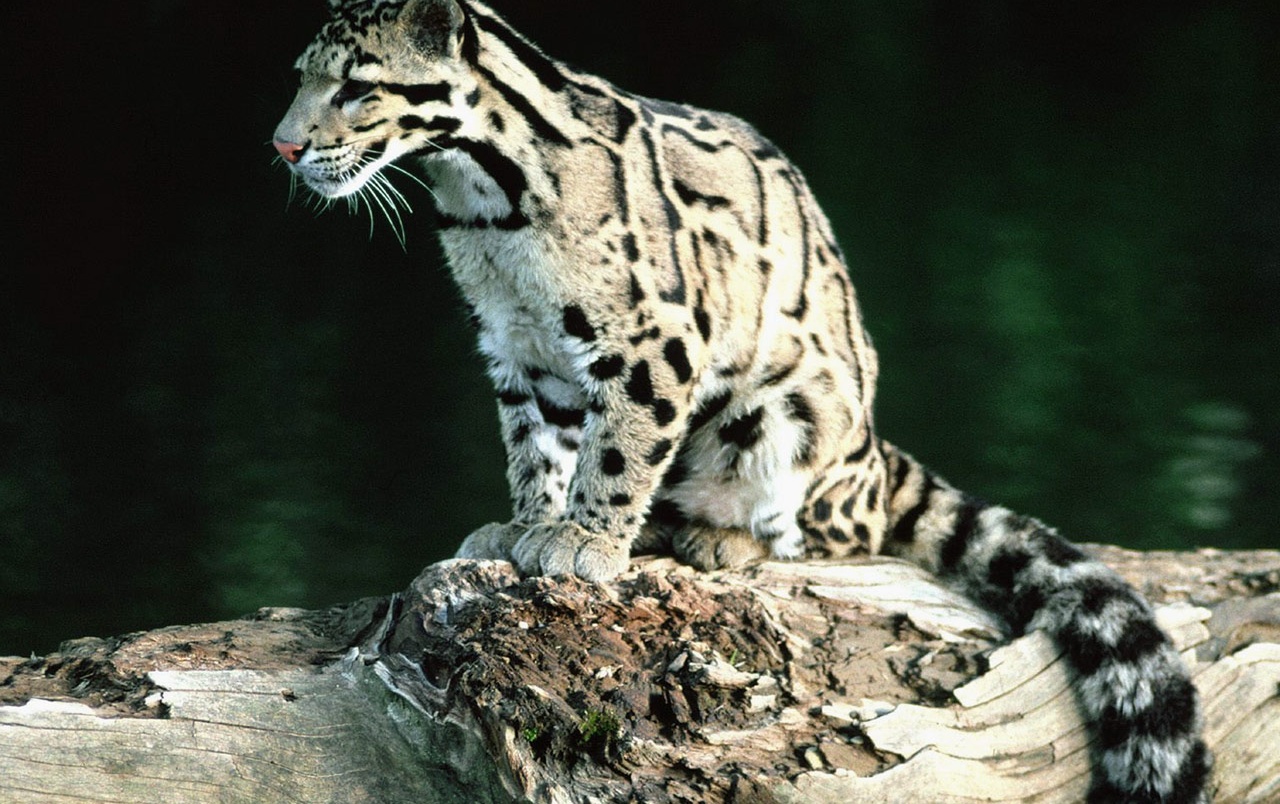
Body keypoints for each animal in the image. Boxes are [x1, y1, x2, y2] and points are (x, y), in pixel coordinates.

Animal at [273, 1, 1211, 800]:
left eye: (357, 86)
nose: (282, 147)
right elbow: (536, 446)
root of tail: (877, 456)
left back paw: (719, 537)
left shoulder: (655, 337)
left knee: (828, 535)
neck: (483, 203)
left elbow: (617, 449)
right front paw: (524, 525)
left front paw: (583, 541)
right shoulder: (517, 347)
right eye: (302, 76)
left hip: (784, 419)